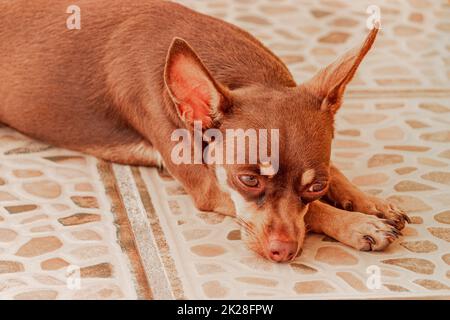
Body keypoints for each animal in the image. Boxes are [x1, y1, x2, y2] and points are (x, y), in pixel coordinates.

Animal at [0, 0, 408, 262]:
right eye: (248, 180)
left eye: (315, 186)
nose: (283, 252)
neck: (245, 78)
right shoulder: (210, 188)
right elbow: (313, 215)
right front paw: (356, 224)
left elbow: (334, 176)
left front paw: (367, 202)